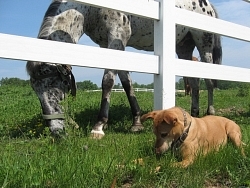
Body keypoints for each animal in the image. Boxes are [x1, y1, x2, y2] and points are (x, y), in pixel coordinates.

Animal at [26, 0, 223, 138]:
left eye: (55, 83)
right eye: (35, 89)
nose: (56, 130)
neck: (94, 8)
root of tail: (208, 5)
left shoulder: (117, 38)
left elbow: (108, 81)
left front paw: (99, 126)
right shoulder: (111, 45)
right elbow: (126, 83)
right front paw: (136, 122)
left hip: (203, 42)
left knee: (209, 80)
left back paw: (210, 112)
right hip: (184, 46)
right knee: (195, 81)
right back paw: (193, 114)